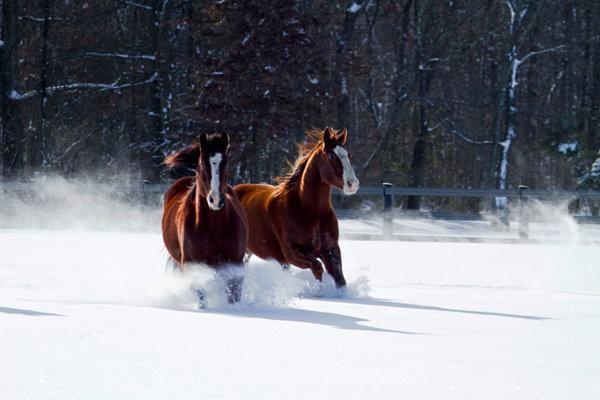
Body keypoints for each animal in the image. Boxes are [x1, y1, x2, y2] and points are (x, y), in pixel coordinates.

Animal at [161, 131, 250, 304]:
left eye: (226, 164)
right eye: (202, 164)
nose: (215, 199)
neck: (213, 227)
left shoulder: (235, 266)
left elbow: (233, 296)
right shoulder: (193, 267)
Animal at [233, 128, 356, 296]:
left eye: (348, 155)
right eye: (331, 156)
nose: (353, 184)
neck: (310, 210)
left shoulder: (330, 249)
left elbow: (339, 278)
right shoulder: (292, 252)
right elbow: (317, 266)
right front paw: (318, 292)